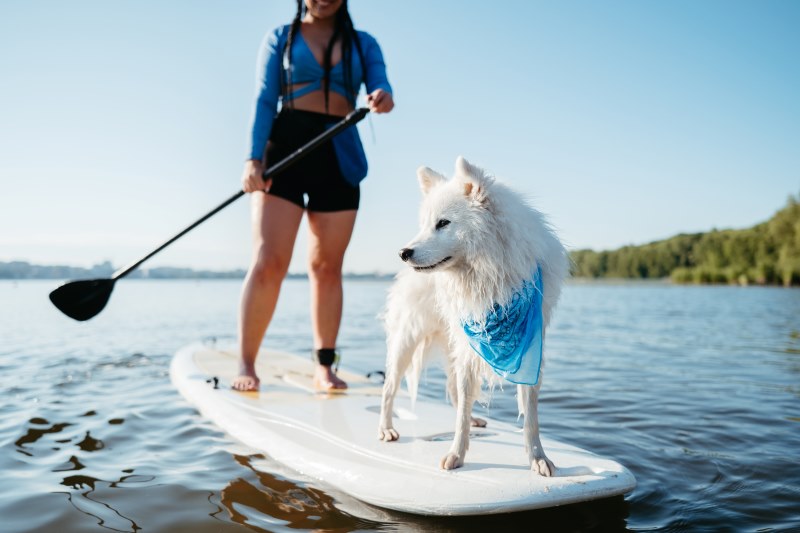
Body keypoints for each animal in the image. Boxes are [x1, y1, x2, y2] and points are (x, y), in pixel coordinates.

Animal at [376, 155, 568, 474]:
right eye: (425, 224)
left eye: (443, 223)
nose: (404, 252)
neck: (488, 273)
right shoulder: (472, 341)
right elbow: (463, 403)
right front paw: (457, 453)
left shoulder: (531, 348)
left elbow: (530, 416)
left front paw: (538, 458)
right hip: (409, 338)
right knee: (389, 387)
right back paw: (385, 428)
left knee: (450, 388)